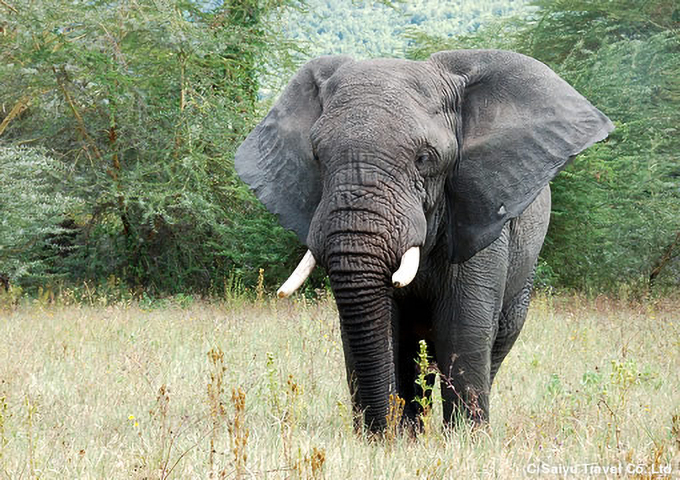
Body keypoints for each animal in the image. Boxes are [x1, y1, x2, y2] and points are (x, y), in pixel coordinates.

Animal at [236, 50, 612, 434]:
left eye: (424, 158)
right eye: (316, 156)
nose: (379, 432)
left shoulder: (477, 210)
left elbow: (463, 327)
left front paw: (464, 439)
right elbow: (381, 327)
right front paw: (390, 436)